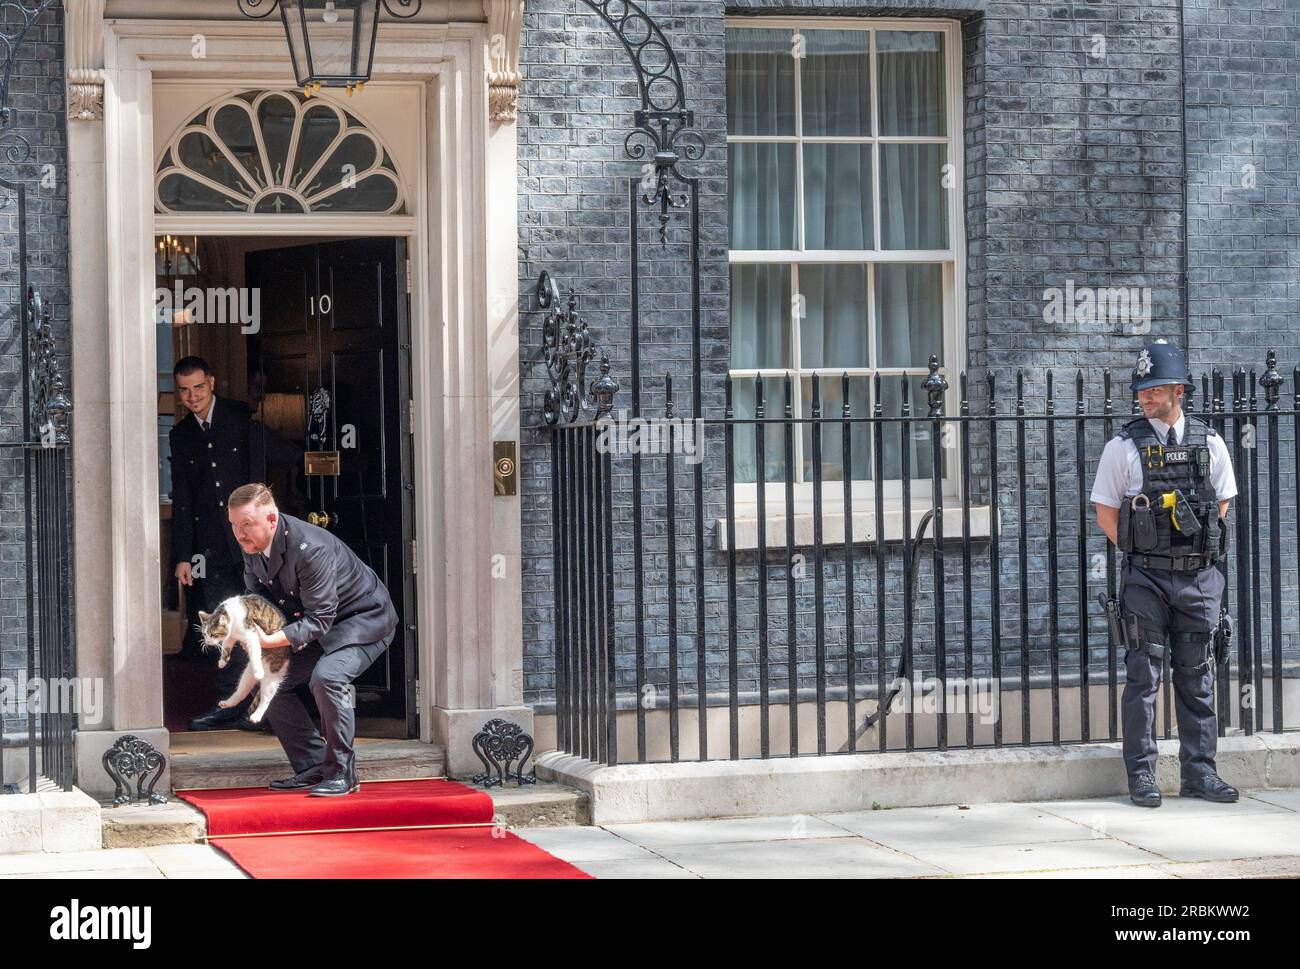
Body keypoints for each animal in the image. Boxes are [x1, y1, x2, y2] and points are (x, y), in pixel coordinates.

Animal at [197, 593, 292, 723]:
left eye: (213, 634)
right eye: (205, 634)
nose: (207, 642)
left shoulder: (252, 635)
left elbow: (255, 653)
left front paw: (258, 672)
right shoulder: (231, 636)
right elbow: (226, 646)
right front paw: (223, 661)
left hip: (272, 676)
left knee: (266, 699)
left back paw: (257, 715)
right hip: (247, 675)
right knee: (241, 692)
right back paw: (228, 703)